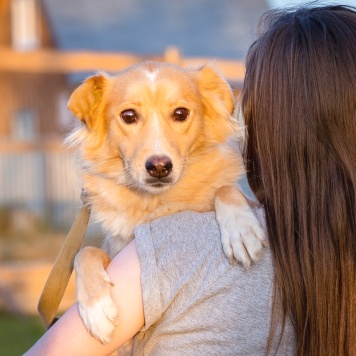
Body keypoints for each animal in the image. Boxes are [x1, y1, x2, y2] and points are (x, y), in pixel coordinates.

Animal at [68, 62, 266, 344]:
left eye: (180, 113)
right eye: (128, 115)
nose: (159, 167)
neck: (158, 204)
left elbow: (225, 189)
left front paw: (241, 229)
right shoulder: (116, 248)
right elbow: (84, 251)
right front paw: (96, 307)